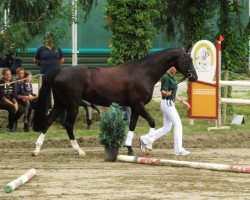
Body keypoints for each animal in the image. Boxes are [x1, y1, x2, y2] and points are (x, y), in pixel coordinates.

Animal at [32, 48, 197, 156]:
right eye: (188, 59)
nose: (194, 77)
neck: (143, 73)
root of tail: (60, 71)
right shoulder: (138, 104)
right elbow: (151, 122)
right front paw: (147, 145)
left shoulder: (135, 107)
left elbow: (132, 126)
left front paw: (130, 148)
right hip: (72, 105)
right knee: (67, 125)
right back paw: (79, 150)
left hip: (61, 104)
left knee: (47, 121)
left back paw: (37, 149)